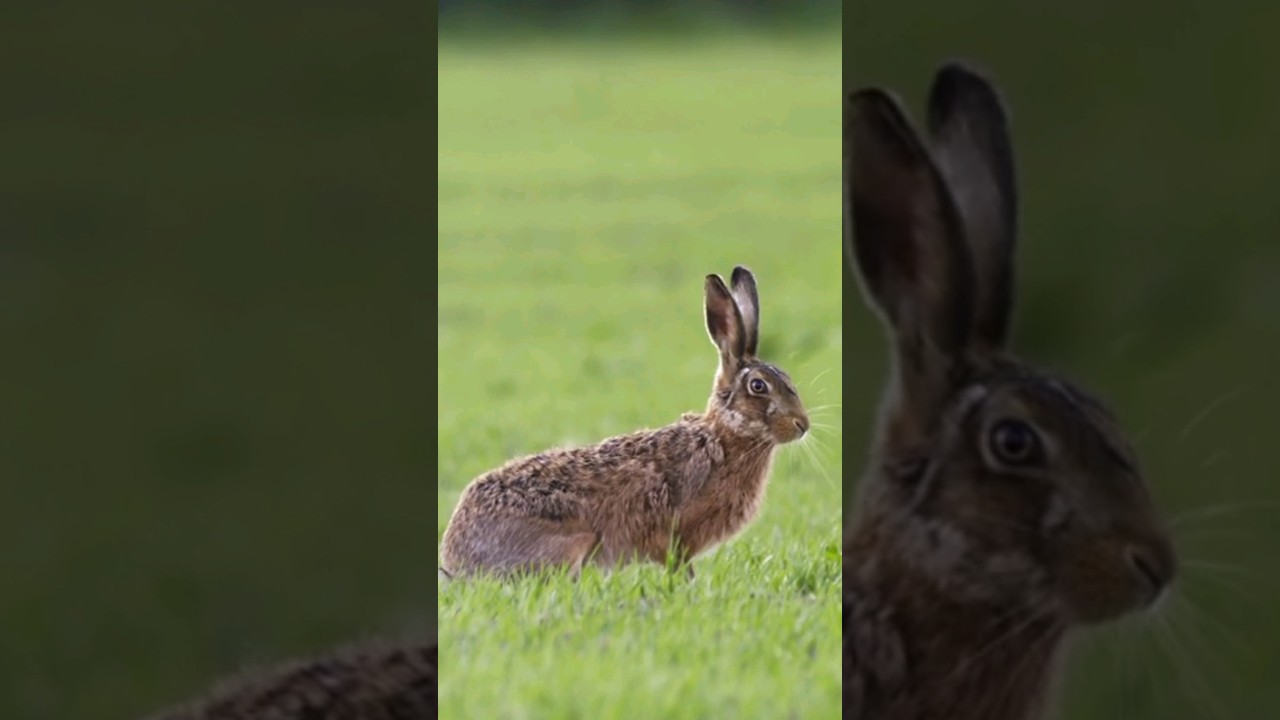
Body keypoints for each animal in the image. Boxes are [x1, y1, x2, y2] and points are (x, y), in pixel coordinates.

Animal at [438, 266, 810, 579]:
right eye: (758, 386)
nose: (802, 424)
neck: (723, 437)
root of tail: (455, 557)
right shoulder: (675, 533)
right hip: (573, 541)